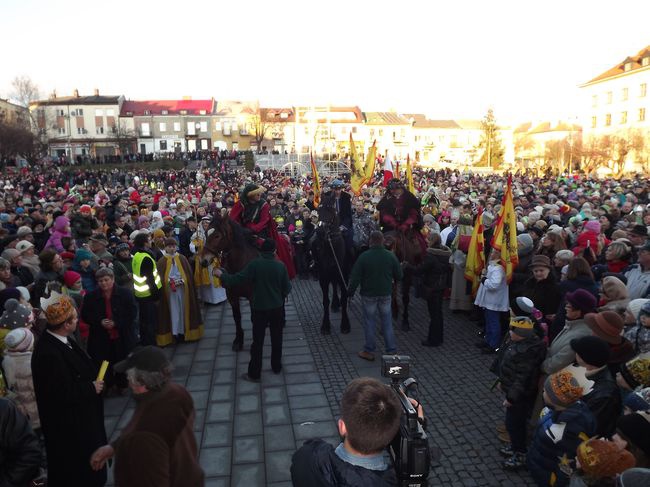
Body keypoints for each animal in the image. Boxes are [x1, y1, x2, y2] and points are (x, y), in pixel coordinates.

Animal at [199, 214, 256, 350]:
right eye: (206, 233)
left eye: (217, 236)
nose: (203, 261)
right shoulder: (231, 296)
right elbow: (237, 317)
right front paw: (238, 341)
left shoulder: (252, 297)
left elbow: (253, 318)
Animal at [310, 205, 350, 336]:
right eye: (318, 211)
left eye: (331, 211)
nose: (319, 231)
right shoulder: (323, 277)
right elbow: (325, 301)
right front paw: (325, 326)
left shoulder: (344, 277)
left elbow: (344, 299)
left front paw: (345, 325)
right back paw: (334, 304)